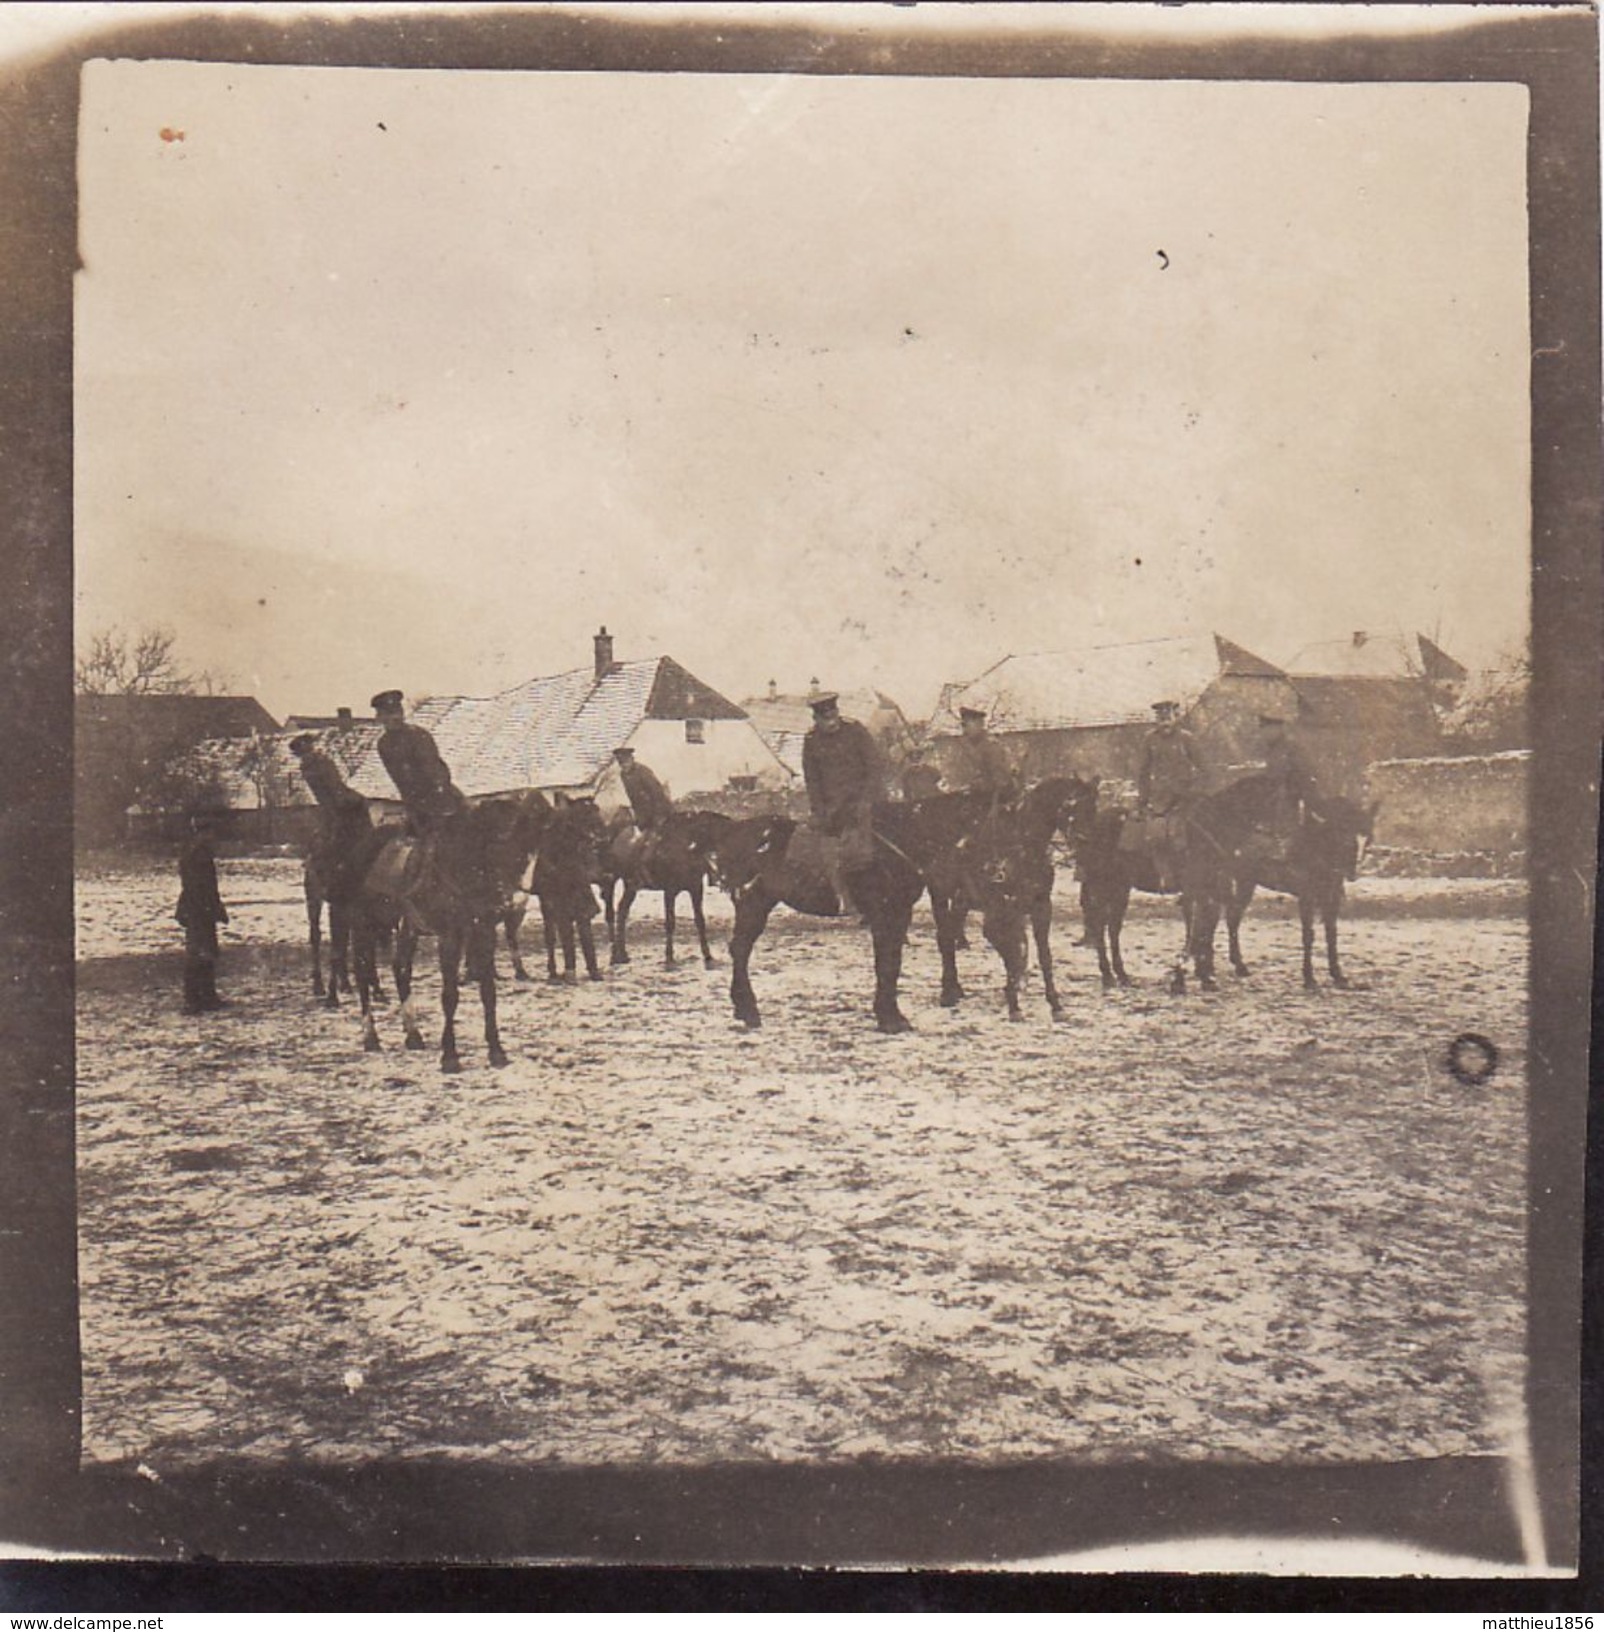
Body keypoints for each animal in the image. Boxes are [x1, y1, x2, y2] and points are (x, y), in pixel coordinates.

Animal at [347, 789, 548, 1070]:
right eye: (502, 837)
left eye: (539, 837)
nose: (514, 899)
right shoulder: (450, 937)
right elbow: (450, 996)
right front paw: (450, 1056)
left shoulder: (484, 934)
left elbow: (488, 992)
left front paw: (496, 1051)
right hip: (363, 925)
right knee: (363, 973)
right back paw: (371, 1037)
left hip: (408, 926)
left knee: (400, 968)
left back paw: (413, 1035)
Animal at [695, 806, 920, 1031]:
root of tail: (732, 829)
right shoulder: (883, 915)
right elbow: (886, 963)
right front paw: (889, 1019)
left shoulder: (901, 913)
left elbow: (893, 962)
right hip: (753, 905)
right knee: (740, 950)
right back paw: (749, 1012)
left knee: (740, 950)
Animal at [1181, 776, 1377, 992]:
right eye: (1342, 834)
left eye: (1366, 837)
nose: (1352, 873)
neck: (1314, 845)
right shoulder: (1307, 897)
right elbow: (1308, 935)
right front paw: (1309, 978)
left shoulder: (1332, 897)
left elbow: (1331, 934)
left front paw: (1337, 974)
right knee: (1202, 918)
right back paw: (1204, 971)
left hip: (1244, 882)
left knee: (1228, 918)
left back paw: (1235, 966)